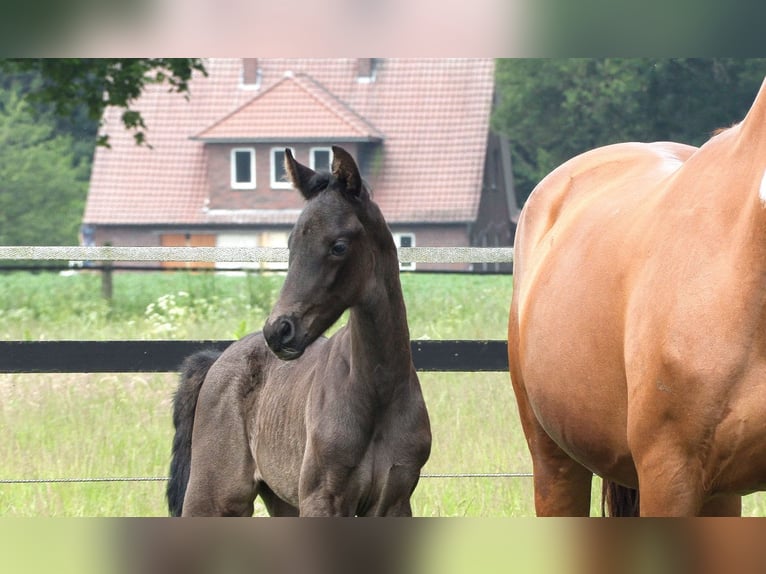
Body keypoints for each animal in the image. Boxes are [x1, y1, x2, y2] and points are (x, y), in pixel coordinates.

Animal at [168, 147, 432, 516]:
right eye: (291, 244)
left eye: (338, 246)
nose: (278, 330)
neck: (378, 391)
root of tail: (217, 360)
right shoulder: (321, 498)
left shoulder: (394, 501)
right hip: (213, 498)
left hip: (281, 499)